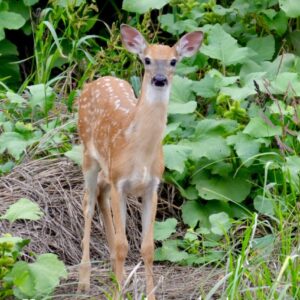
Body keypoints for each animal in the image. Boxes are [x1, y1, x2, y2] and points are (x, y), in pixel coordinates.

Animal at [77, 24, 204, 298]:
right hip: (87, 154)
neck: (140, 152)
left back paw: (114, 273)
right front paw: (117, 293)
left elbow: (147, 248)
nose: (160, 79)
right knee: (88, 204)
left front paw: (148, 293)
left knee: (100, 195)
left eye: (173, 61)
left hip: (107, 170)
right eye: (147, 60)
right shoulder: (120, 183)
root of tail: (98, 80)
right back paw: (84, 279)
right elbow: (124, 246)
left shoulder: (151, 186)